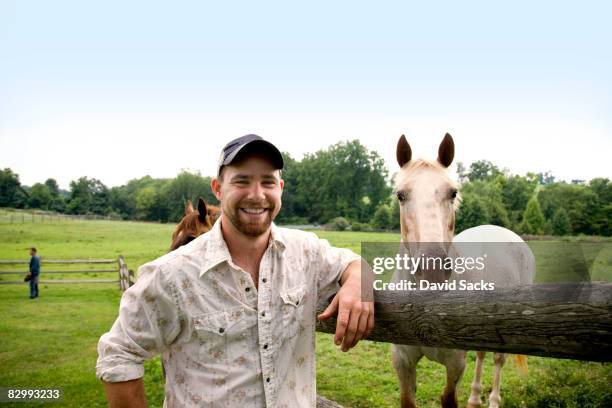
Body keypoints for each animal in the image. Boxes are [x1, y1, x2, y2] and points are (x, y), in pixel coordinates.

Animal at [392, 135, 536, 408]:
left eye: (453, 193)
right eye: (400, 195)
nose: (433, 270)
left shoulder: (455, 363)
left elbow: (448, 397)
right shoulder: (402, 360)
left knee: (498, 359)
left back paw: (493, 400)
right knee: (480, 354)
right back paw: (475, 397)